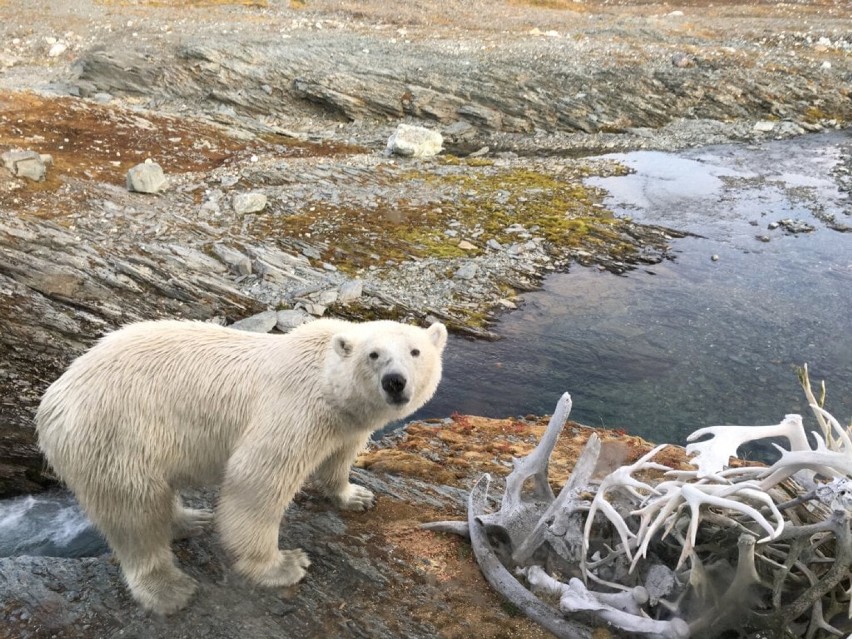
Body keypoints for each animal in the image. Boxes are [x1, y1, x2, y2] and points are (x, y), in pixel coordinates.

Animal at [35, 318, 446, 616]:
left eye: (415, 351)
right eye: (374, 354)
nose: (395, 382)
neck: (326, 380)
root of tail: (52, 399)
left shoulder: (345, 424)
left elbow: (340, 457)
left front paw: (355, 495)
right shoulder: (296, 408)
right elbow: (257, 479)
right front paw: (283, 565)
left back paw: (191, 519)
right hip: (114, 433)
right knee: (134, 512)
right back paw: (170, 588)